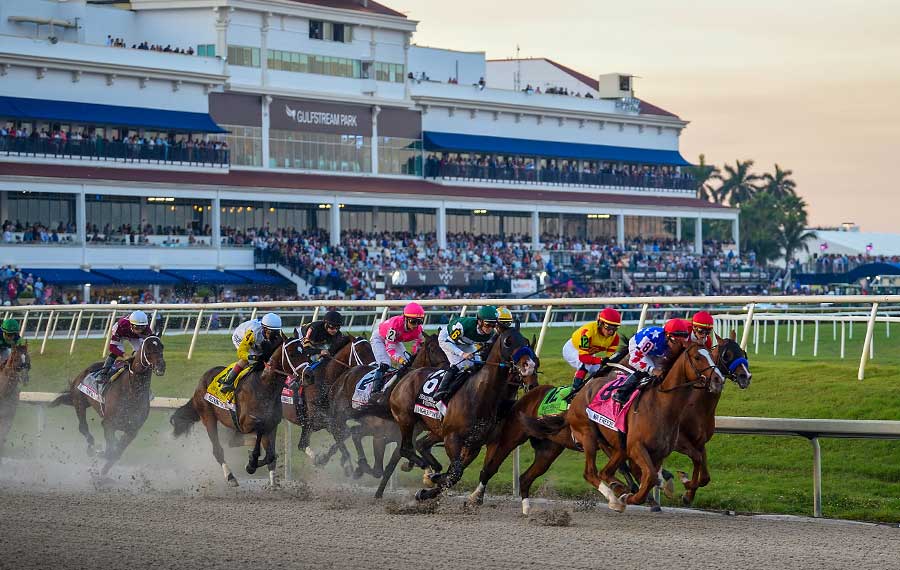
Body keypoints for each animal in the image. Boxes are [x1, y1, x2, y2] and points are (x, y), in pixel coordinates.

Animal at [52, 336, 165, 472]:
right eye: (148, 349)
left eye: (162, 347)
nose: (161, 366)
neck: (131, 393)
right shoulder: (108, 424)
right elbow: (111, 450)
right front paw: (100, 454)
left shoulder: (132, 431)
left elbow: (116, 453)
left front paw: (103, 471)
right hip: (79, 401)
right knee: (83, 427)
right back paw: (91, 447)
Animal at [167, 336, 284, 486]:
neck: (264, 386)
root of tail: (201, 380)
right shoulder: (247, 423)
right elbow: (260, 438)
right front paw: (251, 463)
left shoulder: (272, 424)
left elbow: (271, 455)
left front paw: (271, 480)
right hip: (208, 416)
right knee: (218, 450)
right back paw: (230, 477)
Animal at [378, 326, 536, 500]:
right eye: (508, 341)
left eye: (525, 341)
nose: (529, 366)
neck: (480, 394)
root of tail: (408, 375)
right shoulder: (452, 438)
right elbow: (455, 473)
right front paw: (432, 480)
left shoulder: (475, 443)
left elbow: (455, 473)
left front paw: (429, 488)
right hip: (406, 420)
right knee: (406, 449)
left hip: (432, 427)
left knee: (421, 445)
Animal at [520, 342, 724, 510]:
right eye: (697, 357)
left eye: (712, 355)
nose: (718, 380)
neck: (662, 405)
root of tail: (578, 396)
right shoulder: (636, 447)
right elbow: (649, 476)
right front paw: (632, 497)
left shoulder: (659, 452)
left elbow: (654, 475)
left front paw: (682, 486)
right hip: (588, 435)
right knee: (591, 472)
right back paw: (615, 498)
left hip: (615, 446)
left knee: (605, 471)